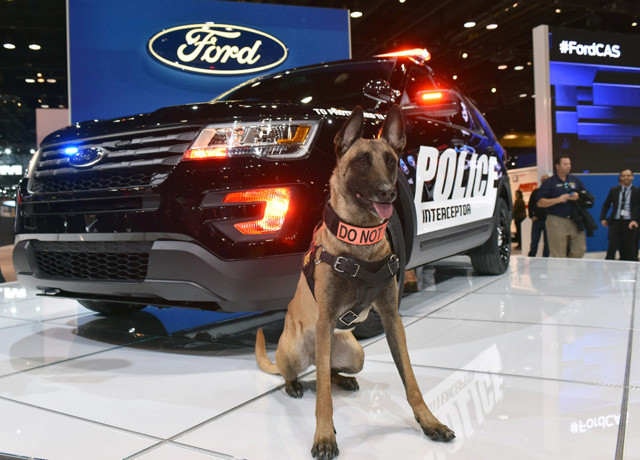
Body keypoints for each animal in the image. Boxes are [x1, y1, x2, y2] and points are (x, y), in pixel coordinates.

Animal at [255, 106, 456, 458]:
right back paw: (294, 385)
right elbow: (323, 397)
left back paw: (343, 379)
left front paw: (429, 422)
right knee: (302, 375)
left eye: (391, 161)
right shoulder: (325, 320)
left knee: (330, 371)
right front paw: (324, 435)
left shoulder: (392, 319)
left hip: (356, 355)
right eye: (361, 161)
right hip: (294, 351)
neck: (361, 242)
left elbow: (411, 381)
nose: (389, 192)